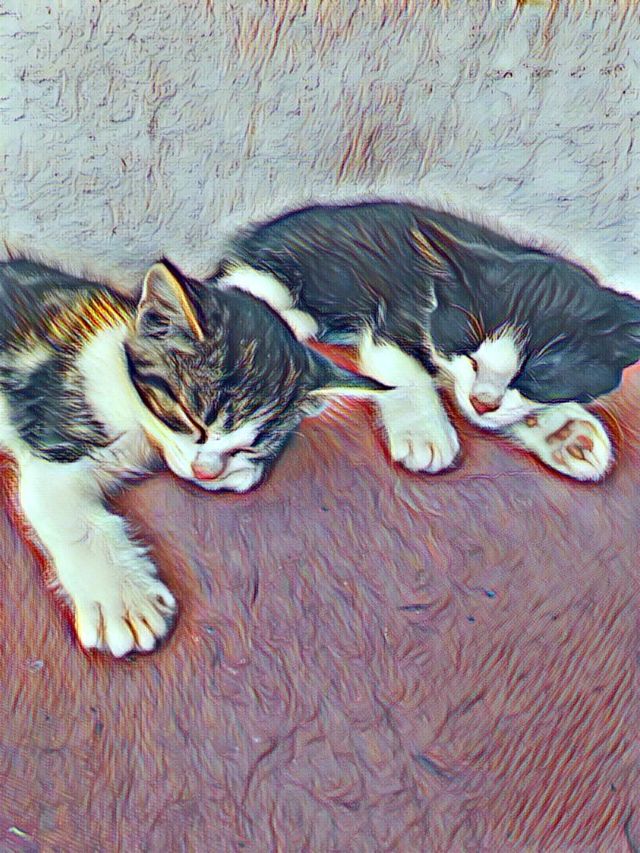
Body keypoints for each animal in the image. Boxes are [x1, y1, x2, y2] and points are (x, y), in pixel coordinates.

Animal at [0, 258, 384, 656]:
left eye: (249, 447)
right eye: (190, 417)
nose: (206, 472)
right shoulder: (54, 424)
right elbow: (55, 502)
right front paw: (123, 600)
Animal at [211, 200, 640, 481]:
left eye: (536, 377)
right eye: (469, 352)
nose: (483, 401)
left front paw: (566, 431)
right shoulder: (399, 312)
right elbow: (404, 369)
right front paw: (424, 435)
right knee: (237, 288)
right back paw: (294, 318)